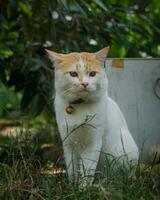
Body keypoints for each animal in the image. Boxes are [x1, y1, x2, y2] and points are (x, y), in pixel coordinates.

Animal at [46, 47, 139, 187]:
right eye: (73, 74)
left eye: (93, 74)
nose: (84, 83)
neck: (80, 106)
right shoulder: (68, 143)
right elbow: (72, 169)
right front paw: (72, 187)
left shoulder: (93, 143)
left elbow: (87, 169)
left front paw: (83, 188)